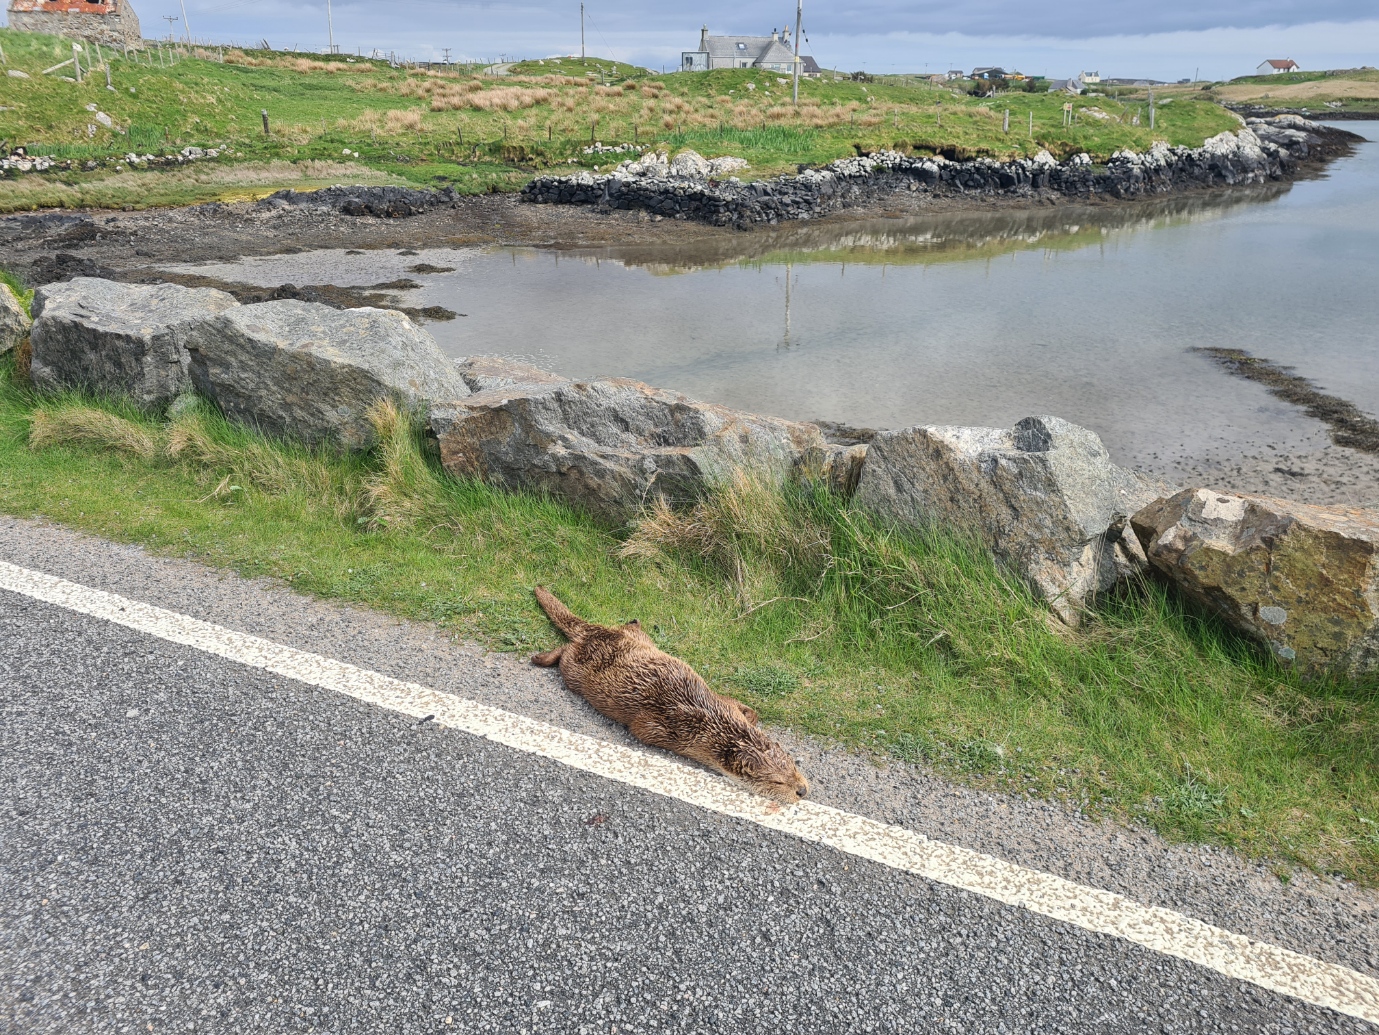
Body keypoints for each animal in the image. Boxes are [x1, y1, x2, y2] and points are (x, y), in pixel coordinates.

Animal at [530, 587, 809, 804]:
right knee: (565, 652)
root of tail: (592, 632)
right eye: (778, 782)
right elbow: (639, 729)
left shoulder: (724, 704)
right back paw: (540, 658)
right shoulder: (669, 730)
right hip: (575, 670)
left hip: (636, 640)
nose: (802, 791)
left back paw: (634, 621)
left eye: (793, 766)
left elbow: (751, 712)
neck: (712, 723)